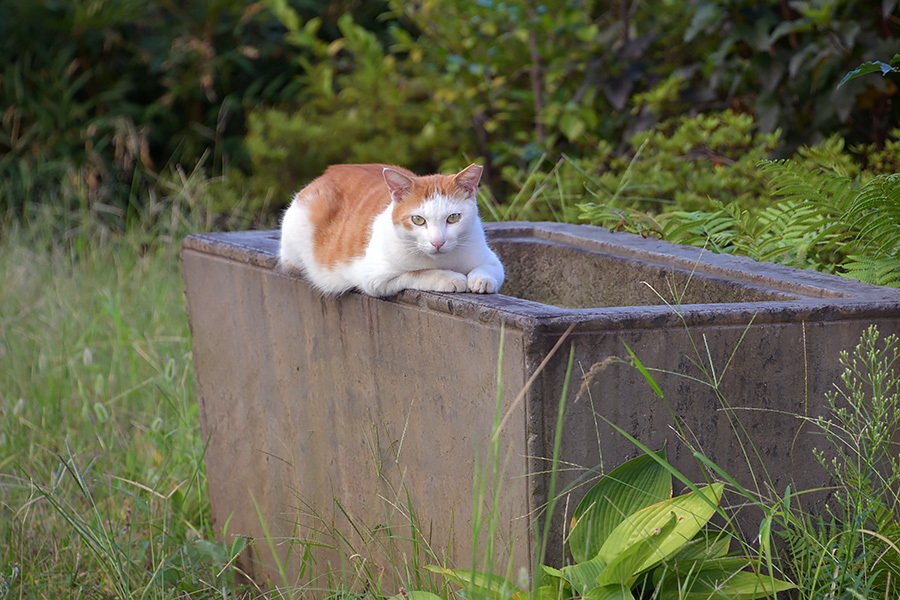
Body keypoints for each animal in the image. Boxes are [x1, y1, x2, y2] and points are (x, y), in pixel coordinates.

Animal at [280, 164, 506, 298]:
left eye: (453, 218)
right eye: (418, 220)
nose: (438, 242)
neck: (443, 260)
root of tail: (329, 172)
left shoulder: (490, 258)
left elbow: (490, 269)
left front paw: (481, 280)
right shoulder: (376, 278)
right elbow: (419, 272)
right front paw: (449, 278)